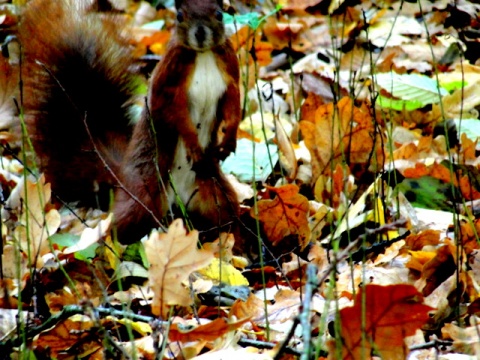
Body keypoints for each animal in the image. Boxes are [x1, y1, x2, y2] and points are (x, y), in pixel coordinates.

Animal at [16, 0, 242, 245]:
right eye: (180, 16)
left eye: (219, 14)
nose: (200, 33)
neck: (203, 55)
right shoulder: (168, 80)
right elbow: (172, 111)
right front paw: (192, 143)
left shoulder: (229, 69)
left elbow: (233, 102)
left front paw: (229, 138)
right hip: (143, 197)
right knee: (121, 225)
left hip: (216, 192)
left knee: (228, 219)